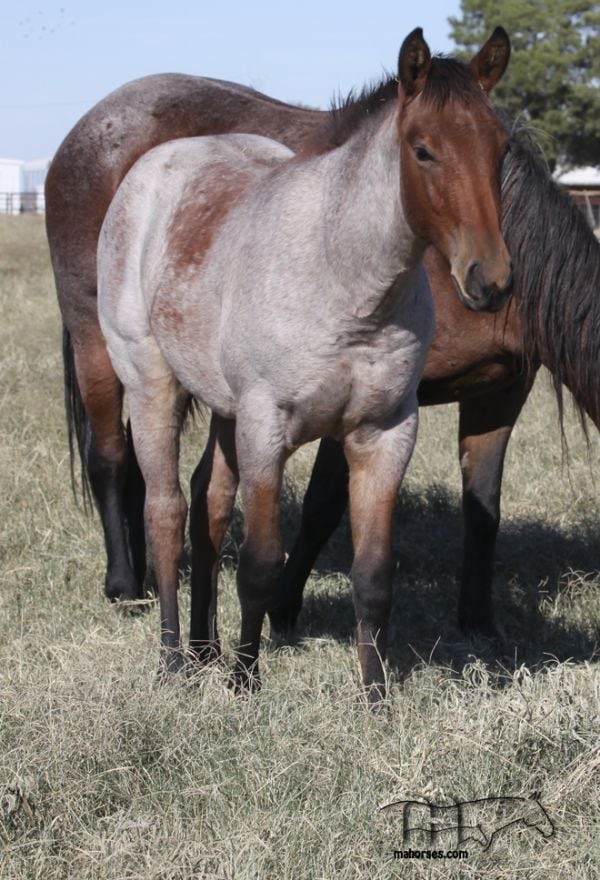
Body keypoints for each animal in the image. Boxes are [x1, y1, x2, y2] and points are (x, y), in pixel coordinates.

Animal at [96, 29, 512, 700]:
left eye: (501, 148)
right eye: (423, 150)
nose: (490, 281)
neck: (345, 283)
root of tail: (153, 166)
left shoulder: (384, 434)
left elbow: (373, 575)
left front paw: (376, 696)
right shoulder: (268, 428)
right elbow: (263, 564)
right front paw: (244, 681)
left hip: (224, 413)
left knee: (208, 506)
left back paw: (205, 650)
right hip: (151, 385)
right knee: (165, 511)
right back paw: (175, 663)